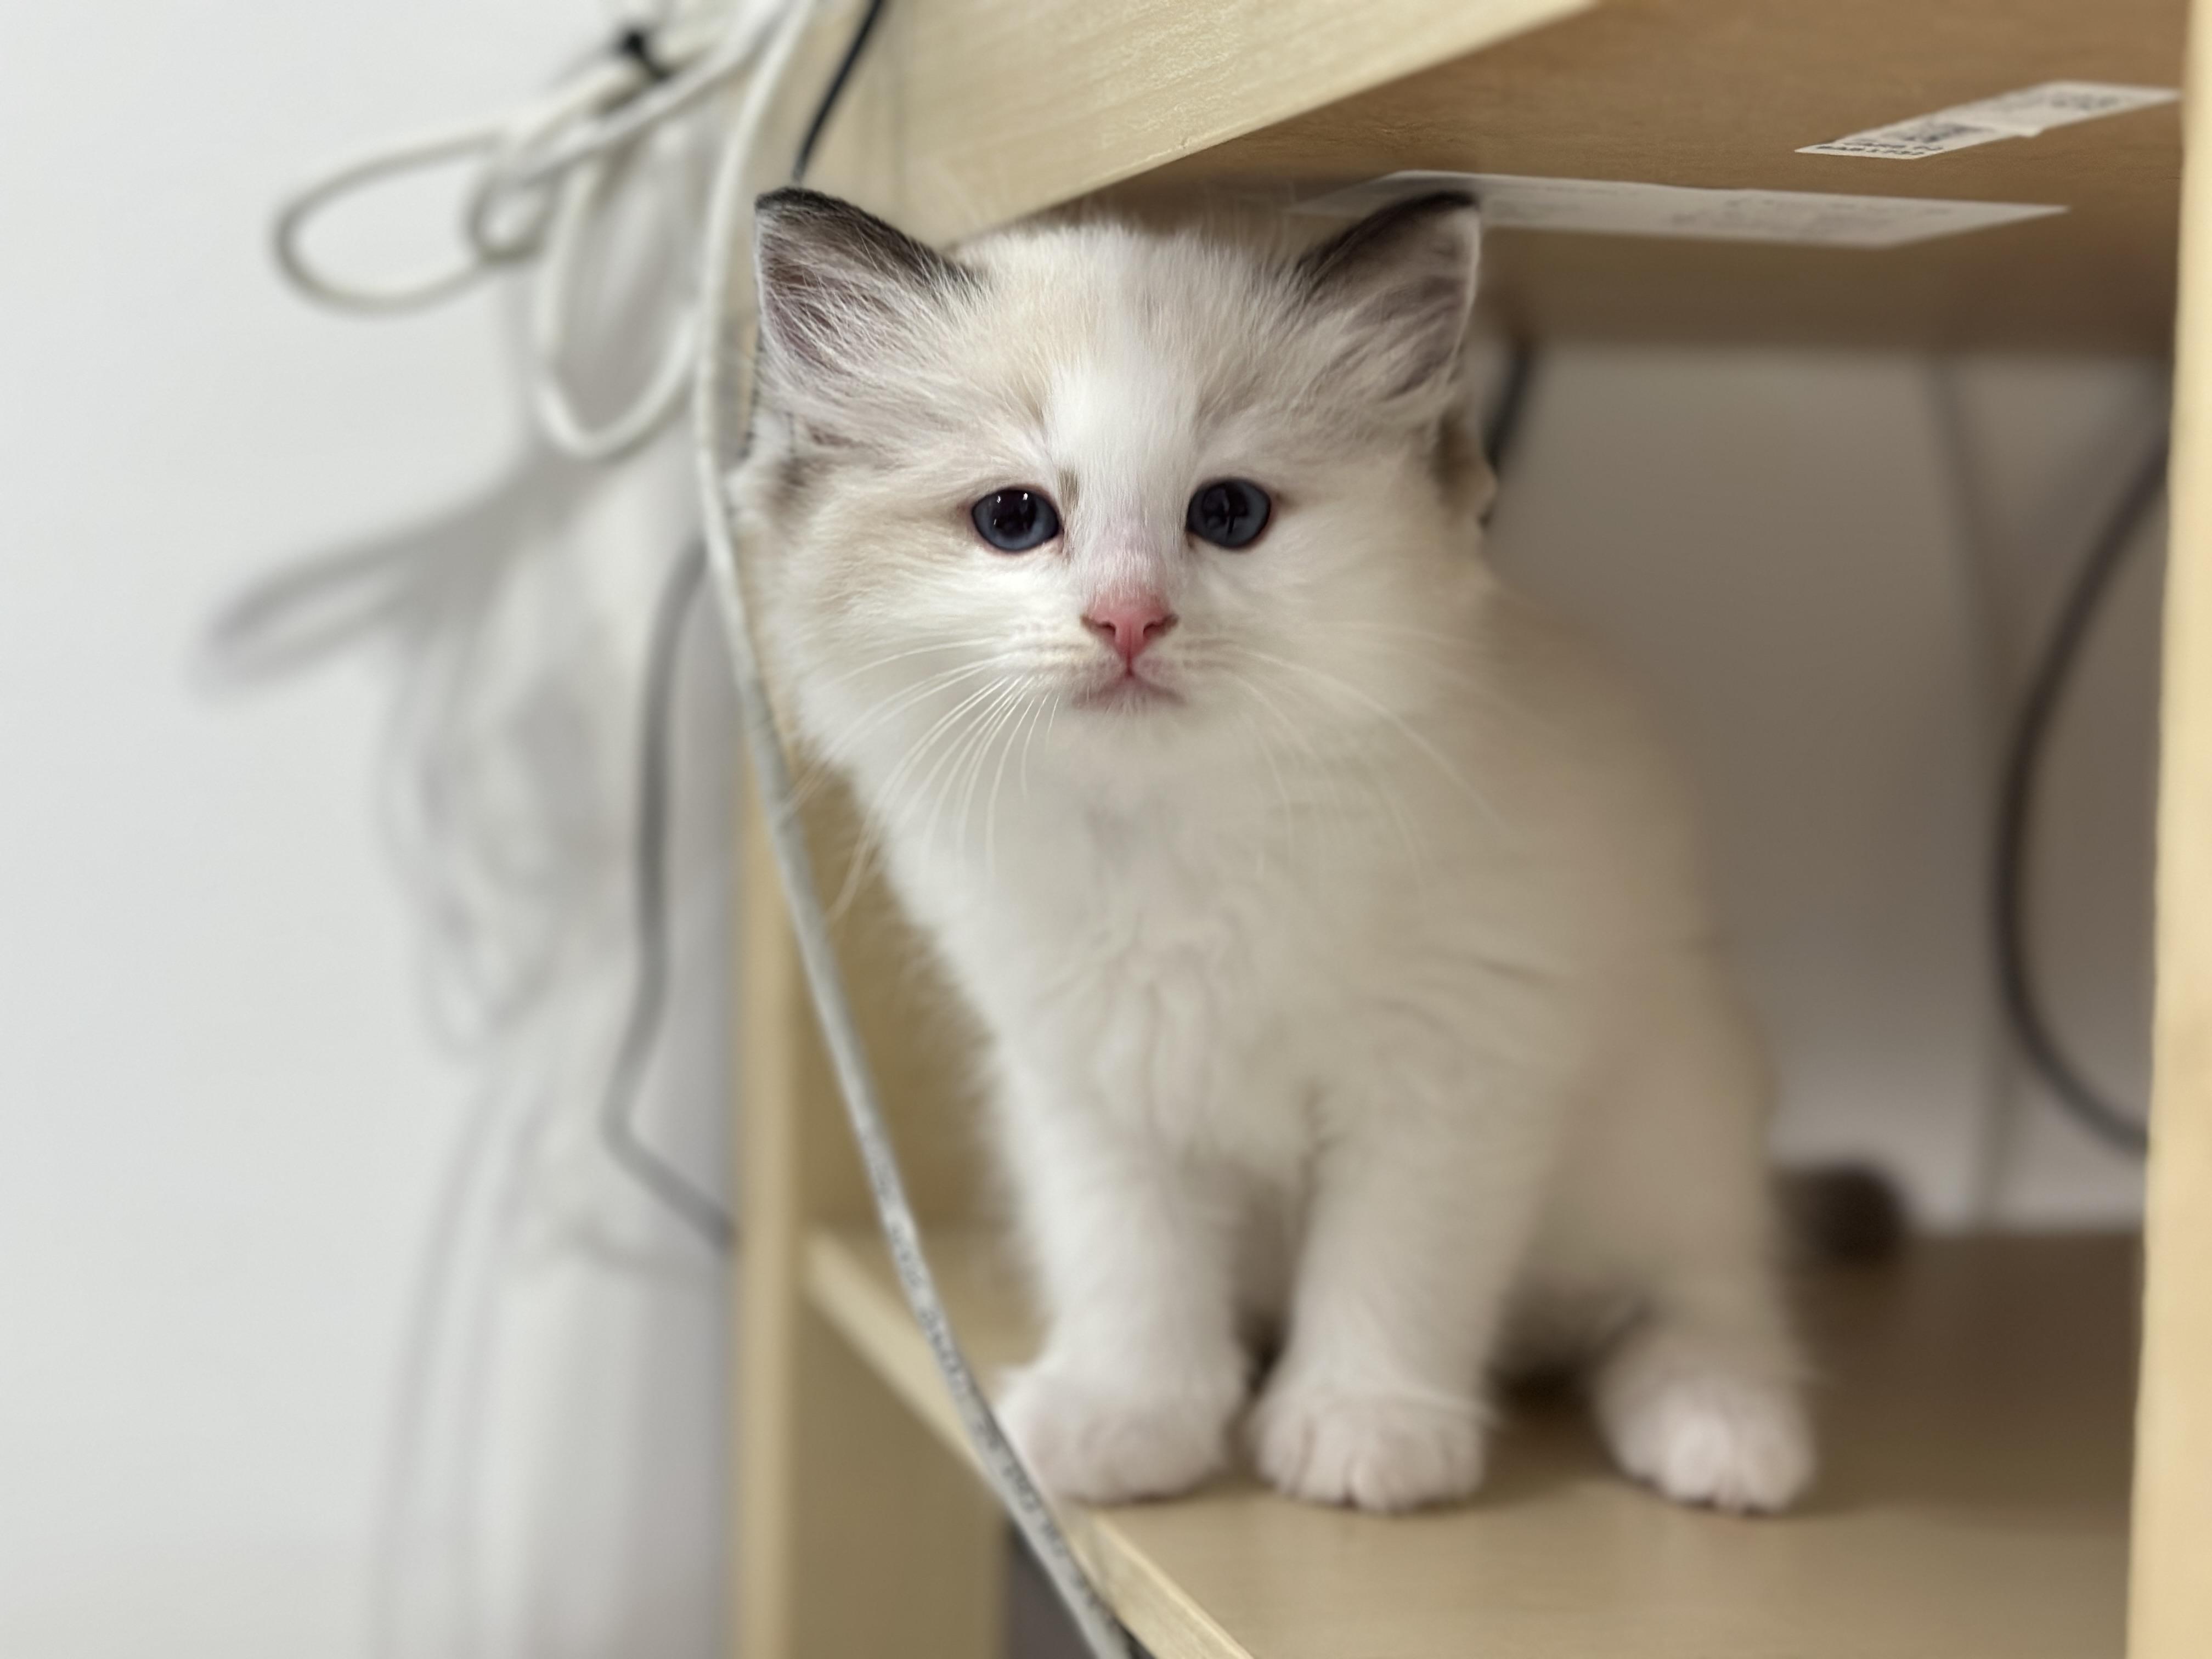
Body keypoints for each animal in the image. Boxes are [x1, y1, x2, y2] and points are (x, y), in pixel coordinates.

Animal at [731, 185, 1813, 1515]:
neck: (1170, 838)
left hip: (1678, 1129)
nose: (1128, 620)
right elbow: (1131, 1265)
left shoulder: (1449, 1072)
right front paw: (1132, 1423)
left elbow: (1392, 1269)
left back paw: (1722, 1435)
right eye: (1014, 520)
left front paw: (1363, 1433)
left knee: (1703, 1298)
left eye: (1228, 515)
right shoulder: (1095, 1078)